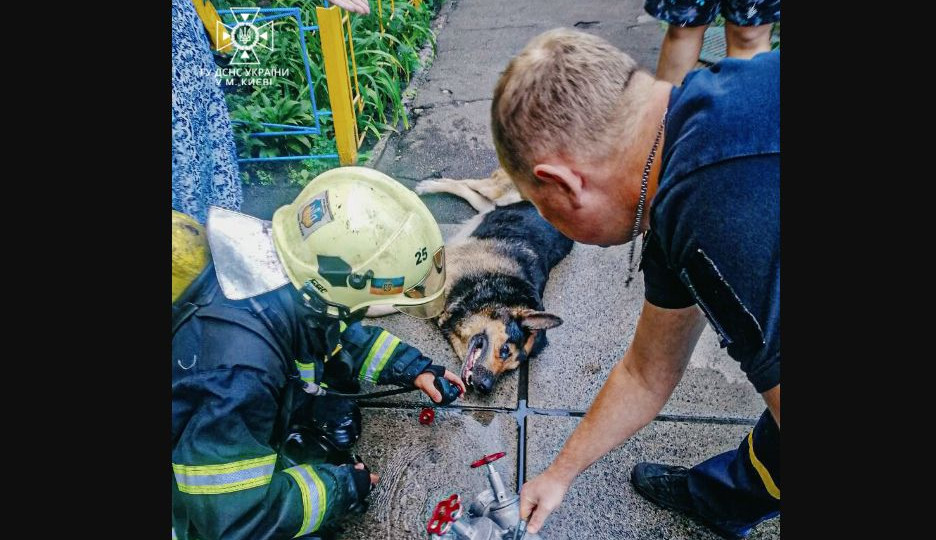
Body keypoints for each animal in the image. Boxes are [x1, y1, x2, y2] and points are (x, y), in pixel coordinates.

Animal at [414, 171, 576, 394]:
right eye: (506, 350)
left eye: (511, 369)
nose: (485, 387)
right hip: (496, 189)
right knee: (466, 183)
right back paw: (428, 185)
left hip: (491, 204)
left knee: (470, 193)